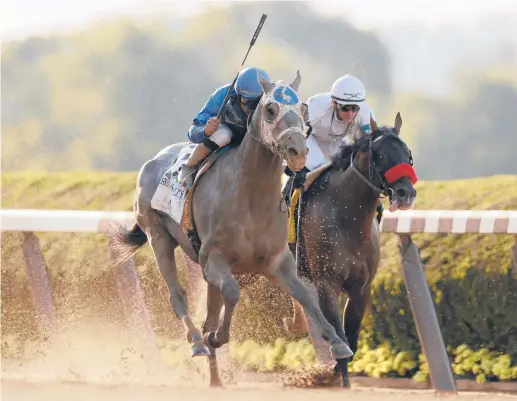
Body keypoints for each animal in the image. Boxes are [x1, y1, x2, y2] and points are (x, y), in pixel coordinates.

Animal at [106, 71, 352, 384]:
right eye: (271, 109)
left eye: (303, 110)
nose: (298, 152)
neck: (250, 197)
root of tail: (153, 161)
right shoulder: (213, 259)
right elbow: (232, 294)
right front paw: (216, 337)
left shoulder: (277, 261)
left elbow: (306, 296)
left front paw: (338, 342)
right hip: (158, 237)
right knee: (178, 296)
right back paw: (198, 342)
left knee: (209, 312)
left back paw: (215, 379)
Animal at [280, 111, 418, 384]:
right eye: (380, 155)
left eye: (407, 153)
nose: (405, 192)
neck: (347, 216)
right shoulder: (327, 283)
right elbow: (340, 335)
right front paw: (338, 377)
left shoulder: (361, 287)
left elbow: (351, 337)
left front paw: (333, 374)